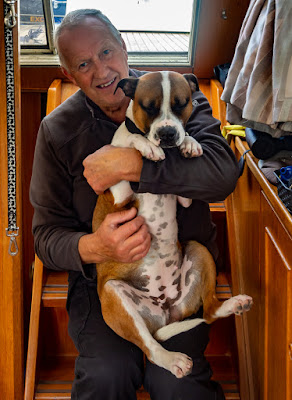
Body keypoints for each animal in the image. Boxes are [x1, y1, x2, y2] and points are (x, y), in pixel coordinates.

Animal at [92, 72, 253, 378]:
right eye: (149, 107)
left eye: (182, 104)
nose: (167, 134)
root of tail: (166, 312)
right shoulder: (120, 196)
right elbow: (131, 139)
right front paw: (146, 146)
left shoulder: (184, 198)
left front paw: (190, 142)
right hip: (114, 294)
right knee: (151, 349)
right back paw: (172, 359)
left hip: (198, 250)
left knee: (209, 312)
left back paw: (232, 304)